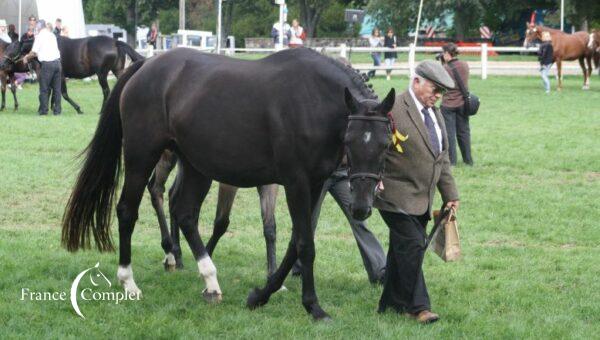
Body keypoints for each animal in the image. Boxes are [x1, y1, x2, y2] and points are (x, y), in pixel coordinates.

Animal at [0, 35, 144, 113]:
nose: (2, 64)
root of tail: (115, 42)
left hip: (101, 74)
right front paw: (52, 108)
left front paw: (78, 109)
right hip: (118, 71)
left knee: (106, 91)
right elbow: (54, 92)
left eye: (12, 49)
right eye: (6, 48)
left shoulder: (61, 75)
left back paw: (102, 110)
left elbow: (63, 94)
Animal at [61, 48, 396, 322]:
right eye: (350, 139)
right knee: (128, 210)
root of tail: (146, 65)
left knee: (185, 213)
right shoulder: (296, 183)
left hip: (194, 165)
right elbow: (305, 244)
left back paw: (209, 280)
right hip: (142, 155)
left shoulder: (315, 184)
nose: (362, 207)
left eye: (385, 143)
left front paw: (261, 295)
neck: (312, 99)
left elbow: (294, 242)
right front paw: (313, 306)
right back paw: (129, 282)